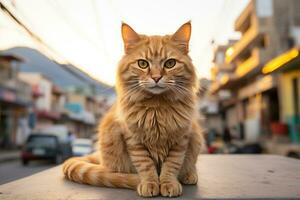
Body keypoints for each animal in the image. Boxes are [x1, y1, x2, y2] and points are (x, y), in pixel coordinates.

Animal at [62, 21, 205, 197]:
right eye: (142, 64)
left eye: (170, 63)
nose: (156, 77)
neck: (157, 108)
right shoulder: (134, 139)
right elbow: (146, 166)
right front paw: (149, 184)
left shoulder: (180, 139)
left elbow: (171, 165)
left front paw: (168, 183)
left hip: (196, 137)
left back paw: (189, 175)